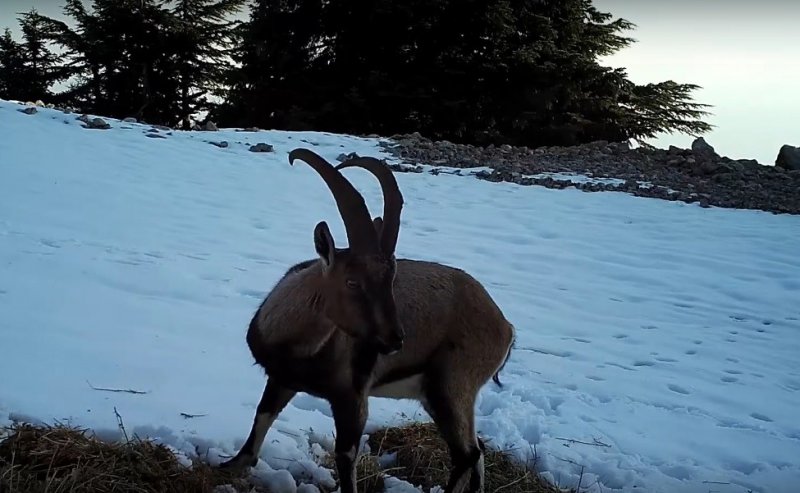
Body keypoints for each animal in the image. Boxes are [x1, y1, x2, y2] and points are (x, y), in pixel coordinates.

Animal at [222, 149, 516, 492]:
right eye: (352, 281)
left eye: (392, 279)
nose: (394, 339)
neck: (295, 346)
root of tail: (505, 326)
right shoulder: (282, 378)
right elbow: (261, 418)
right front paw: (229, 465)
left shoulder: (353, 395)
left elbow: (346, 456)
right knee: (477, 449)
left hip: (451, 386)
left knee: (466, 454)